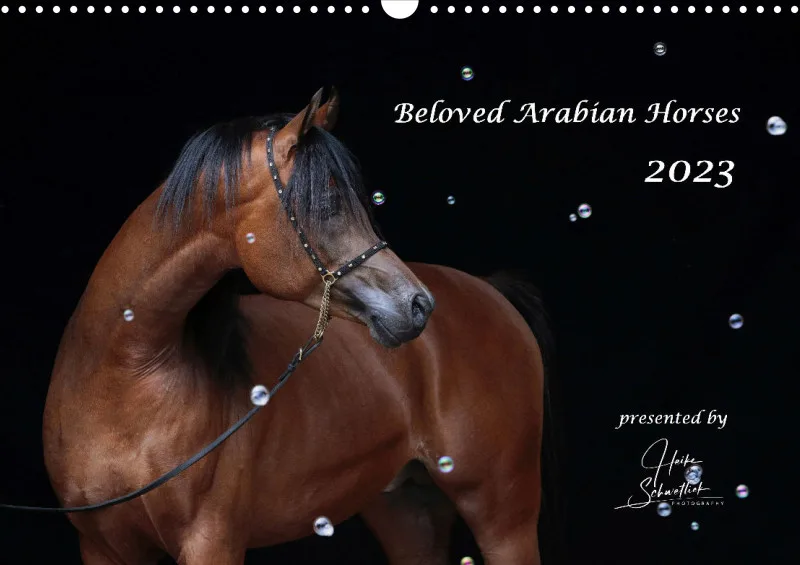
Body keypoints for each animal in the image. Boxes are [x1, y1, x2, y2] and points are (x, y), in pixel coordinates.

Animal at [38, 87, 556, 565]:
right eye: (327, 201)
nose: (419, 305)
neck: (127, 377)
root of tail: (488, 289)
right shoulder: (103, 549)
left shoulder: (211, 542)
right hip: (407, 513)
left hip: (502, 517)